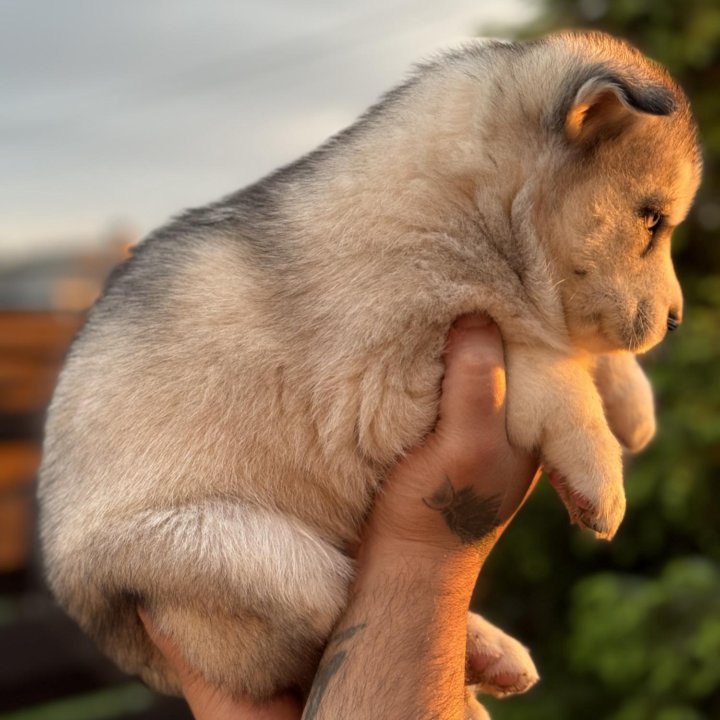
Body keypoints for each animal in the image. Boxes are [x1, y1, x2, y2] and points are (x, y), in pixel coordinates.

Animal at [38, 31, 696, 704]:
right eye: (651, 221)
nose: (677, 319)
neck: (468, 204)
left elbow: (580, 347)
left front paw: (635, 407)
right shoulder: (393, 380)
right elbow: (549, 360)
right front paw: (601, 474)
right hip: (254, 560)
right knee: (327, 628)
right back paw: (483, 661)